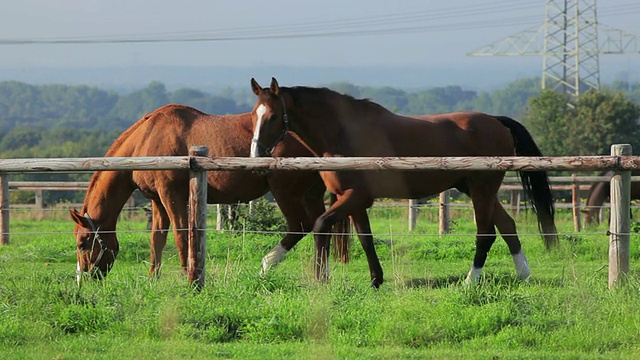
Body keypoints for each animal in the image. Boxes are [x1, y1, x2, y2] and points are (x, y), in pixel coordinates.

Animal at [69, 104, 344, 282]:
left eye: (83, 242)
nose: (85, 277)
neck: (146, 139)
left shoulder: (172, 196)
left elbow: (181, 236)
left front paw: (186, 276)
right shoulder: (158, 201)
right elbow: (157, 240)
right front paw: (153, 279)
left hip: (285, 192)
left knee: (301, 225)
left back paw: (268, 265)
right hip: (311, 195)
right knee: (321, 228)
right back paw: (321, 277)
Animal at [248, 77, 556, 288]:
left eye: (273, 116)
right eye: (254, 115)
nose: (256, 155)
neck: (342, 133)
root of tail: (496, 121)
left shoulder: (355, 197)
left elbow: (321, 226)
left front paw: (320, 279)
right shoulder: (354, 200)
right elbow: (366, 239)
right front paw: (375, 280)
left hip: (482, 189)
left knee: (486, 233)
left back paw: (471, 281)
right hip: (476, 189)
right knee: (508, 226)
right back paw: (524, 275)